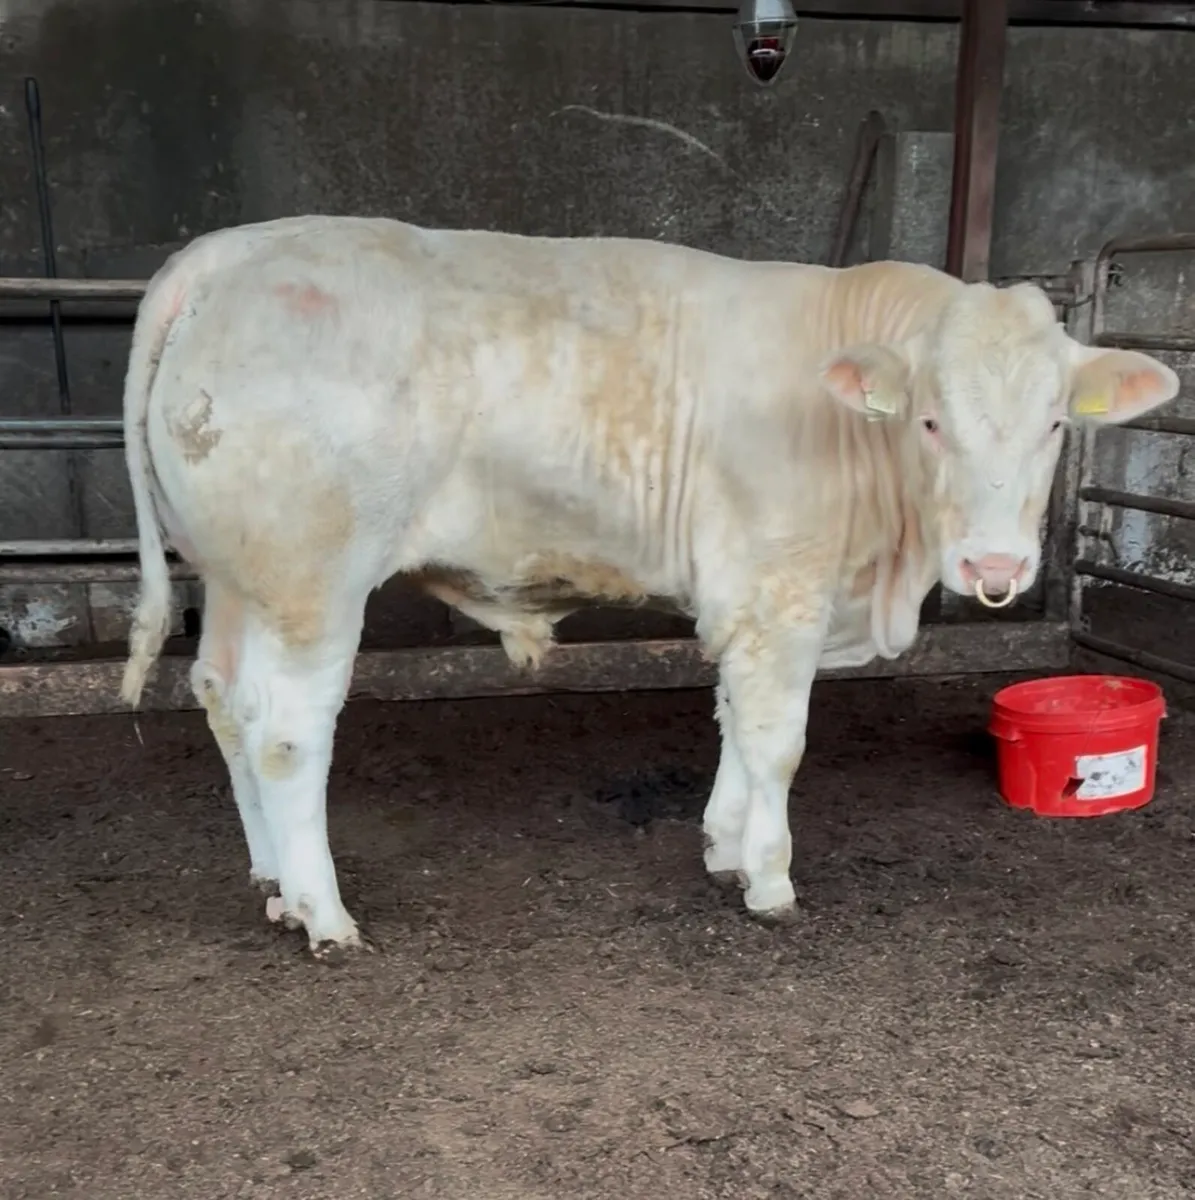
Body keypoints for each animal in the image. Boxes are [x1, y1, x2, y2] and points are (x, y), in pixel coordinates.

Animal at [118, 215, 1178, 957]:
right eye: (928, 420)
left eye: (1054, 423)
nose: (994, 568)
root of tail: (233, 249)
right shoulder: (778, 589)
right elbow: (778, 740)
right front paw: (769, 882)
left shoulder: (748, 600)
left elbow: (731, 720)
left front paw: (721, 845)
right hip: (310, 580)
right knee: (288, 732)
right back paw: (324, 913)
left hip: (238, 575)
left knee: (224, 701)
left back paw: (272, 881)